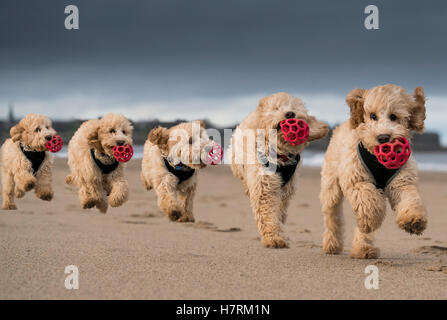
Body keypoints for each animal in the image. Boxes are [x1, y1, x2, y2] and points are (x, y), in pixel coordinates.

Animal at [231, 92, 328, 248]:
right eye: (276, 108)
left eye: (295, 108)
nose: (290, 113)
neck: (279, 152)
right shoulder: (264, 185)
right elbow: (267, 214)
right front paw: (273, 238)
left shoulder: (285, 190)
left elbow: (278, 211)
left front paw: (278, 231)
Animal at [320, 84, 428, 258]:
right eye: (372, 116)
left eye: (393, 116)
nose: (383, 137)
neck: (378, 159)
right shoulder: (357, 179)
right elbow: (367, 201)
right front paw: (371, 218)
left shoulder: (402, 181)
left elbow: (409, 199)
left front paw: (413, 220)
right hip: (331, 185)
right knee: (332, 214)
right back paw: (332, 245)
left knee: (362, 226)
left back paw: (363, 248)